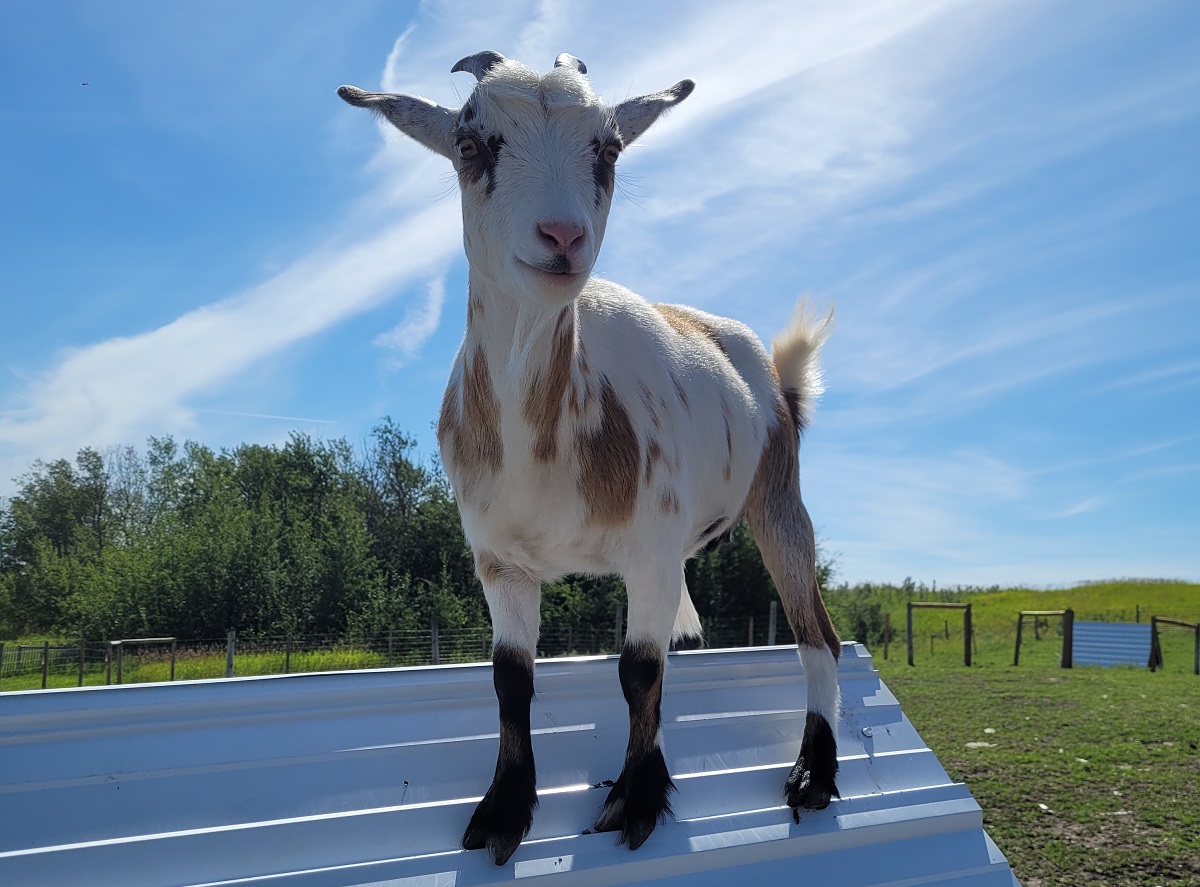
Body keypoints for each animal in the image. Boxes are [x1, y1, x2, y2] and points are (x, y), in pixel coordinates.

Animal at [338, 51, 840, 866]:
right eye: (471, 144)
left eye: (608, 150)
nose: (561, 236)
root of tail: (774, 374)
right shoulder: (501, 560)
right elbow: (512, 679)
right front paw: (503, 811)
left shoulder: (648, 548)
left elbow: (638, 671)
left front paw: (635, 801)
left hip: (778, 493)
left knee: (815, 636)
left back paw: (813, 774)